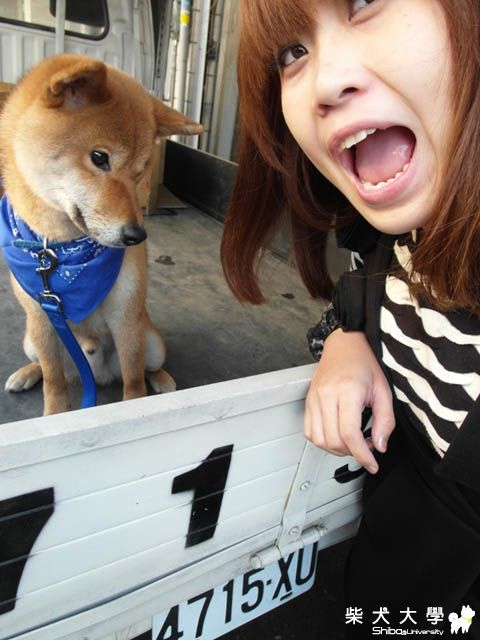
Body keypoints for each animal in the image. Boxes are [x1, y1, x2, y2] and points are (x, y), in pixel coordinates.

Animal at [0, 54, 202, 415]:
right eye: (99, 158)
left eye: (141, 171)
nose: (136, 235)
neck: (60, 250)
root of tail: (97, 375)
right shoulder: (41, 316)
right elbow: (53, 381)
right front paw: (53, 415)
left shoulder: (126, 316)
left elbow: (134, 380)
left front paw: (135, 409)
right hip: (30, 339)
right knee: (46, 367)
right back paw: (26, 373)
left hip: (152, 341)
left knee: (147, 366)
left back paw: (163, 380)